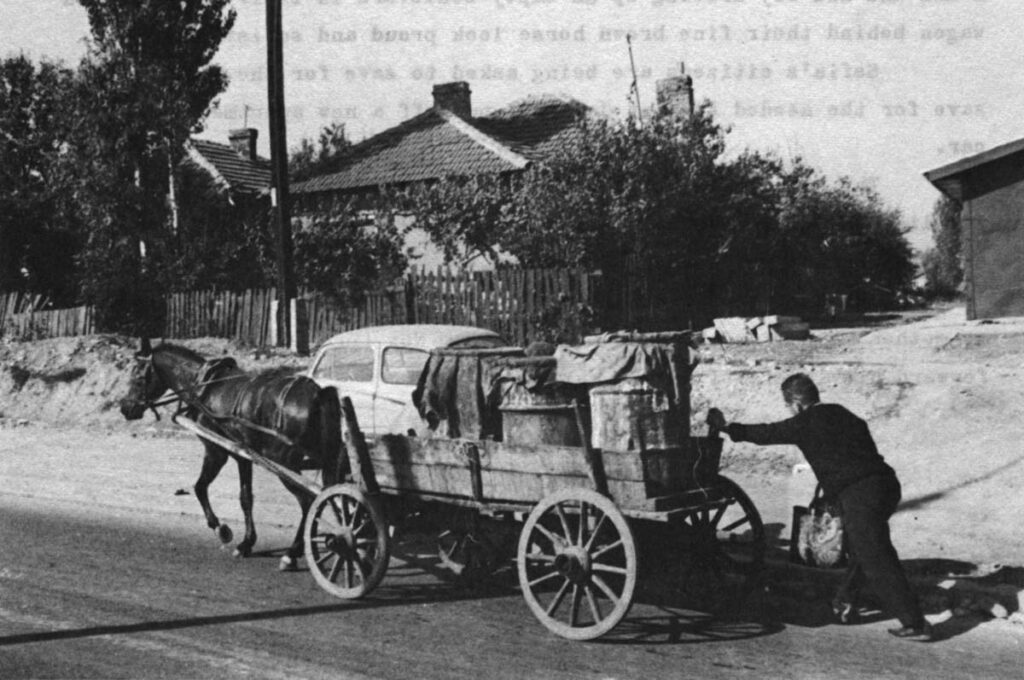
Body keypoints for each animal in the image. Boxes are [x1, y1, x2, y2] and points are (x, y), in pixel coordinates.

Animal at [119, 337, 348, 569]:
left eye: (138, 378)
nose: (125, 408)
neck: (204, 387)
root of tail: (318, 394)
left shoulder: (216, 451)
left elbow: (201, 487)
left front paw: (222, 530)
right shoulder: (243, 456)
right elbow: (245, 497)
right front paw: (247, 542)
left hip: (284, 463)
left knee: (309, 502)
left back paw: (292, 553)